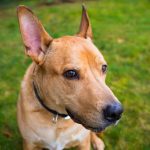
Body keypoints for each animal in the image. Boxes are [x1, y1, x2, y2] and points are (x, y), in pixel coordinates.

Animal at [16, 4, 123, 150]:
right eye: (71, 73)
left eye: (104, 68)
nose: (117, 112)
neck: (58, 119)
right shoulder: (29, 144)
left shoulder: (83, 143)